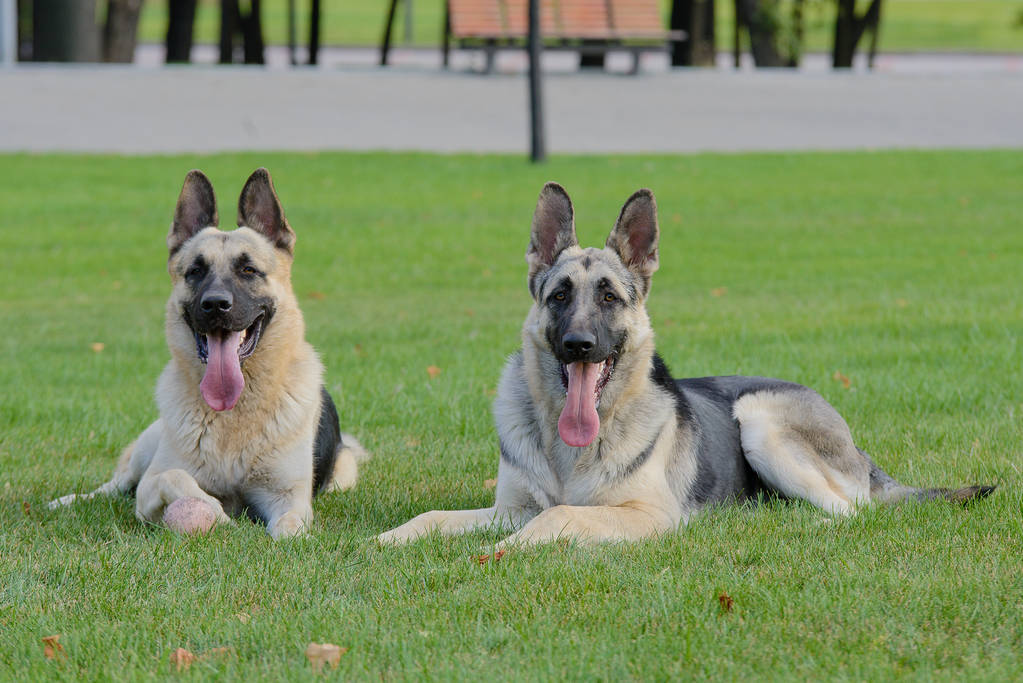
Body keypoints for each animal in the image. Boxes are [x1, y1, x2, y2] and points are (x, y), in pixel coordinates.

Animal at [49, 167, 368, 535]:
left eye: (248, 270)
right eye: (195, 271)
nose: (216, 305)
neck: (235, 414)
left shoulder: (289, 498)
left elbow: (288, 530)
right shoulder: (150, 486)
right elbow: (177, 478)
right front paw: (215, 512)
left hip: (344, 475)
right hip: (146, 448)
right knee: (116, 484)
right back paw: (69, 501)